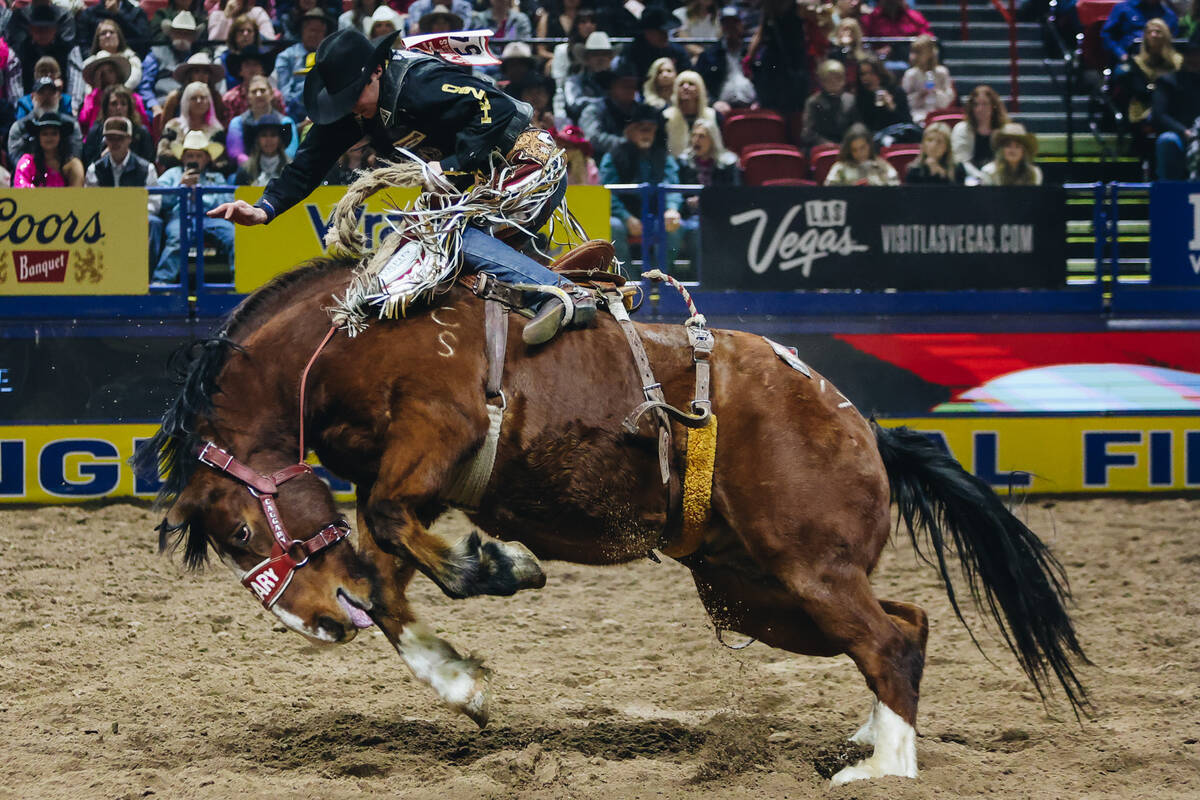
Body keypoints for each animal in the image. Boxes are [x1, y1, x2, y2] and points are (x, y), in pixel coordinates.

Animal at [133, 257, 1089, 786]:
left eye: (242, 534)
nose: (318, 624)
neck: (354, 331)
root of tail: (862, 424)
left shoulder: (436, 436)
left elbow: (392, 532)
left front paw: (501, 565)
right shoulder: (407, 483)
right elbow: (388, 581)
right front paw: (460, 682)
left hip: (808, 572)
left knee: (887, 639)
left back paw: (885, 769)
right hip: (756, 592)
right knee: (907, 624)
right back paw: (870, 741)